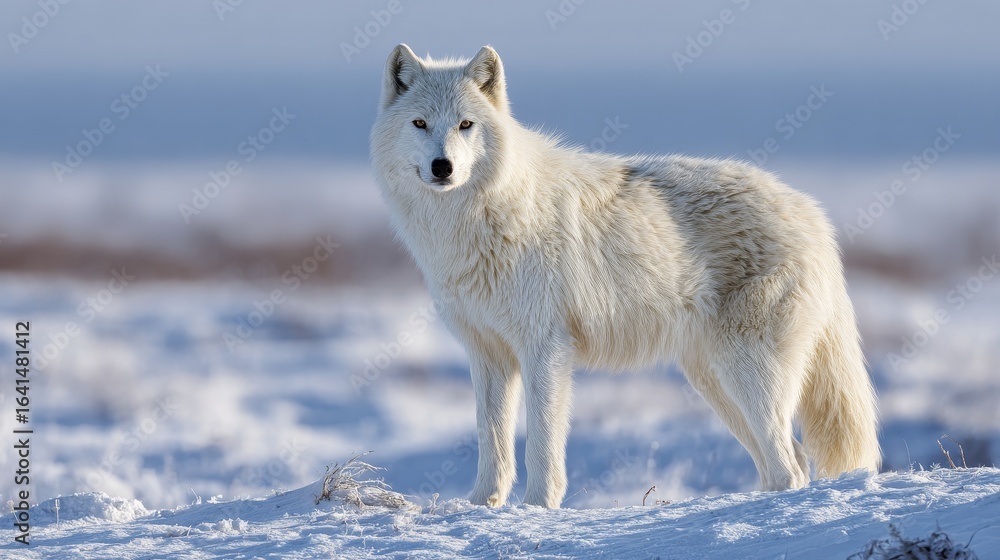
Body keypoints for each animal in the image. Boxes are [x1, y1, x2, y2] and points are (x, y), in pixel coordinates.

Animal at [370, 44, 881, 509]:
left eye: (465, 125)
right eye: (420, 124)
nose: (443, 167)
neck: (475, 221)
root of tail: (812, 213)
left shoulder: (545, 348)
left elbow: (541, 443)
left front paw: (537, 507)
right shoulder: (488, 354)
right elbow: (491, 441)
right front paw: (481, 506)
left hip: (747, 374)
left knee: (791, 466)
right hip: (715, 382)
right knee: (790, 459)